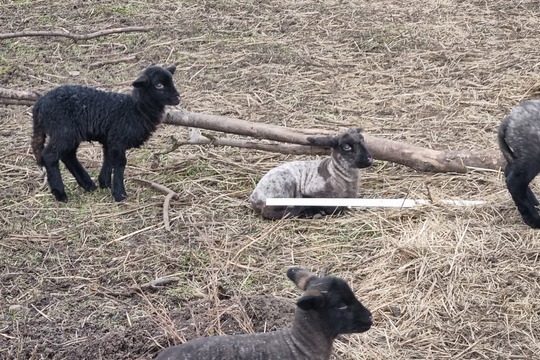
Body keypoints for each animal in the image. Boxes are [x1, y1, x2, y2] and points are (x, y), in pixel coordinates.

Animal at [32, 64, 181, 202]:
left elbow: (108, 159)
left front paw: (104, 182)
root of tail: (39, 104)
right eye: (159, 85)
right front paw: (120, 194)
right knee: (50, 155)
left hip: (69, 134)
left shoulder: (110, 139)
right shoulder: (118, 138)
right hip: (63, 131)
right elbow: (120, 163)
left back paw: (88, 184)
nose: (178, 98)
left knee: (68, 155)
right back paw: (60, 194)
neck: (135, 109)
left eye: (172, 81)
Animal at [498, 98, 540, 228]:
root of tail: (509, 120)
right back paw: (534, 219)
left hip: (517, 156)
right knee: (515, 183)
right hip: (532, 157)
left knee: (510, 172)